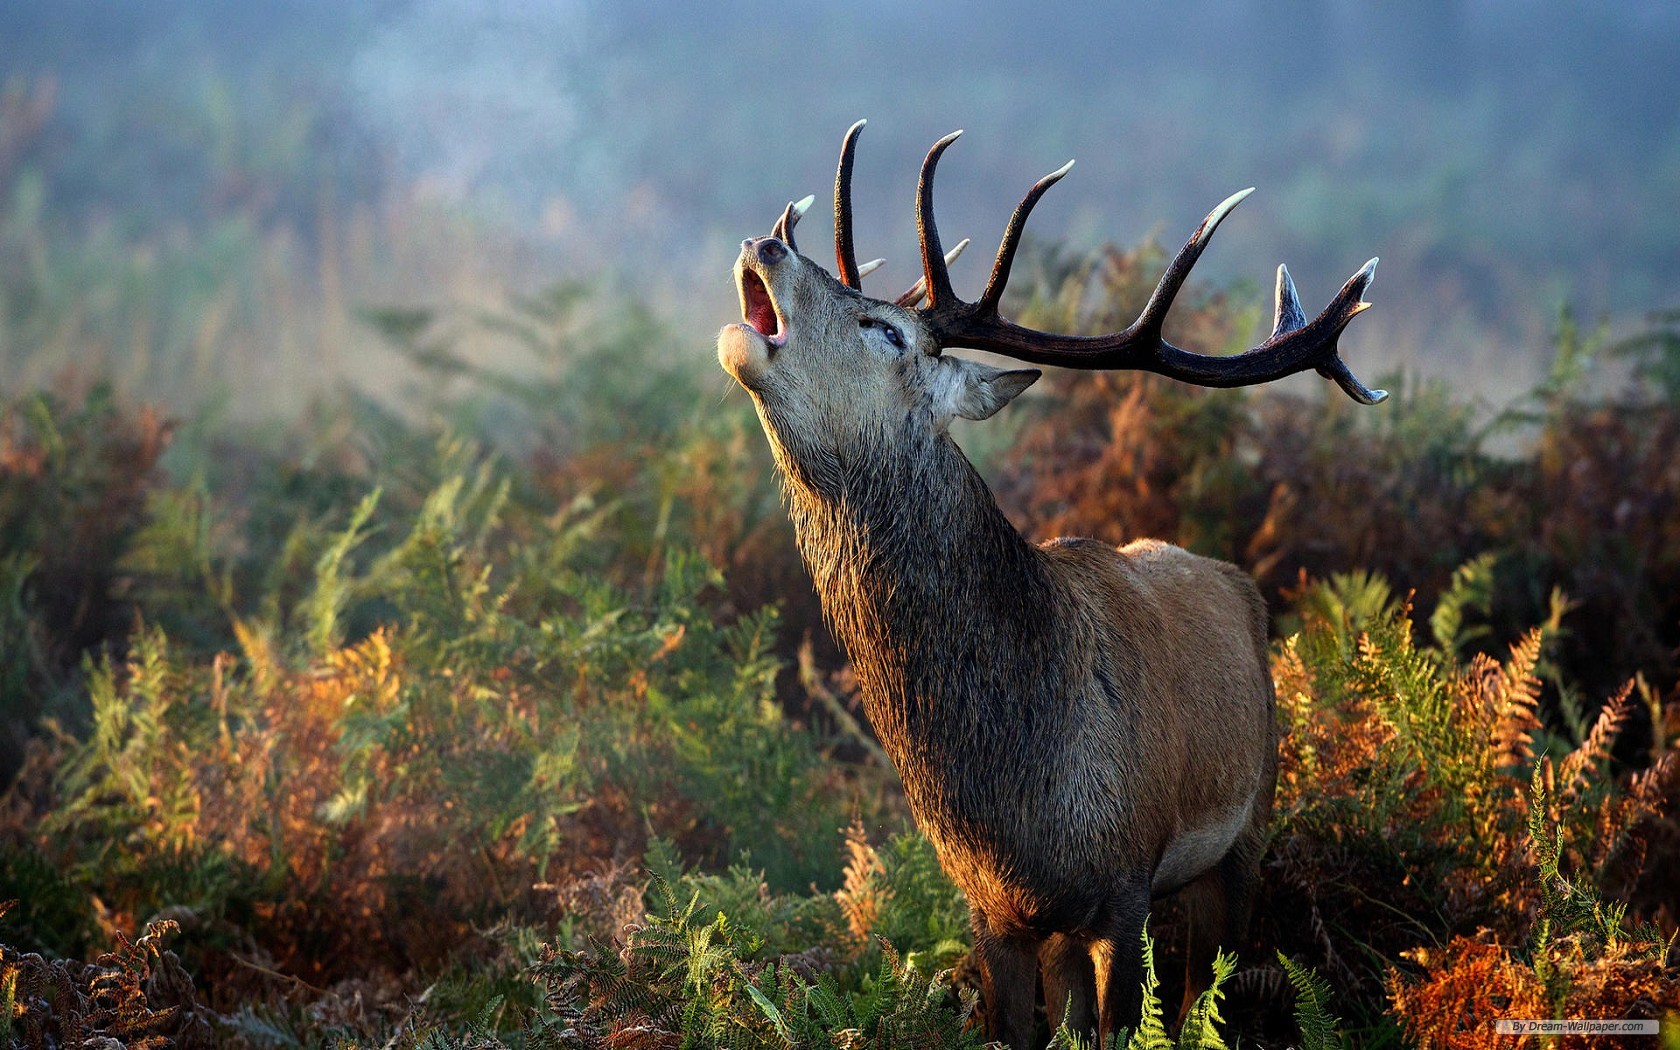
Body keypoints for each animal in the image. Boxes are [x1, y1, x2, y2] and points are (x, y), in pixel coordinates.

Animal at [715, 121, 1384, 1049]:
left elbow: (1126, 1023)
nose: (764, 242)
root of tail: (1234, 580)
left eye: (886, 329)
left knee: (1202, 991)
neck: (1016, 798)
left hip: (1246, 832)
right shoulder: (990, 910)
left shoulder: (1125, 887)